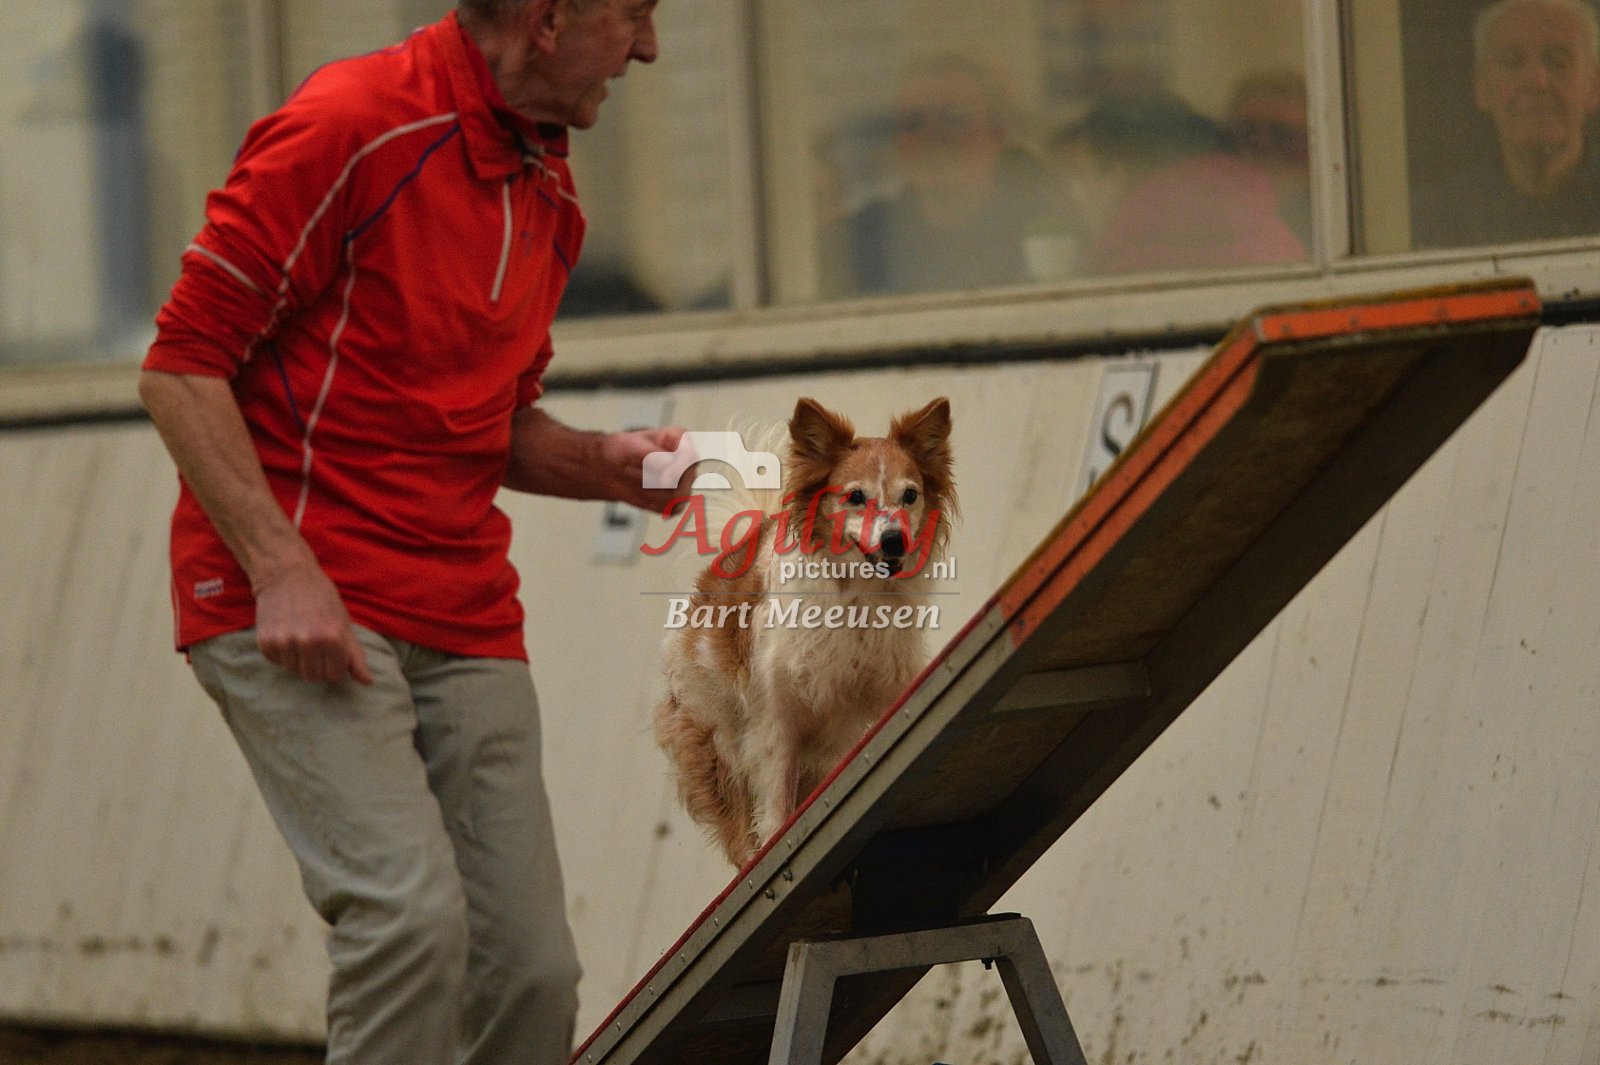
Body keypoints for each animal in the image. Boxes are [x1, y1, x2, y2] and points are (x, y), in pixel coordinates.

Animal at [653, 396, 956, 866]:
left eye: (910, 495)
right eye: (855, 497)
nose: (894, 541)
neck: (857, 594)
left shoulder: (889, 689)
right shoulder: (777, 724)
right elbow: (776, 810)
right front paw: (773, 845)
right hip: (721, 745)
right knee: (740, 823)